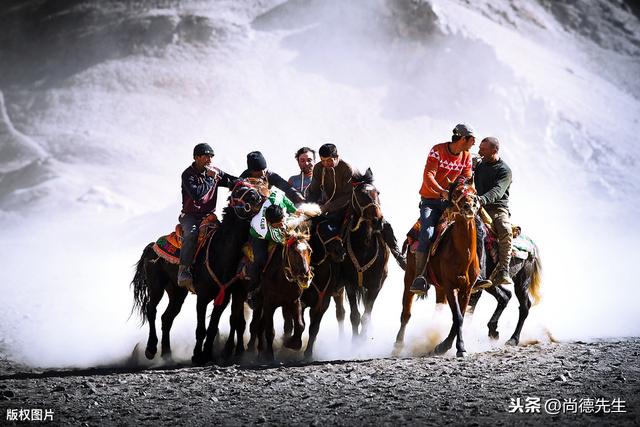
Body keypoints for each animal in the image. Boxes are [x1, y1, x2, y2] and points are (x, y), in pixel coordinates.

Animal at [131, 181, 264, 364]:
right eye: (238, 191)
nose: (256, 195)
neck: (220, 252)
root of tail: (151, 246)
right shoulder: (203, 296)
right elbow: (201, 329)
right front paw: (197, 355)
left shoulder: (223, 298)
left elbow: (213, 327)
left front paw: (207, 354)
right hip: (156, 286)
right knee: (152, 310)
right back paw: (151, 349)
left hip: (177, 292)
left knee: (167, 318)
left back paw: (167, 354)